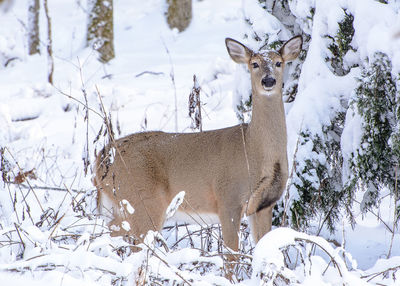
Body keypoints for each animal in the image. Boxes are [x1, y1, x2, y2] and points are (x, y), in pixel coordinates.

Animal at [93, 35, 300, 255]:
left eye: (278, 63)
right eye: (254, 64)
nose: (268, 81)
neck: (254, 149)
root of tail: (100, 160)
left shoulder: (264, 205)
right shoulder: (228, 198)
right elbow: (231, 256)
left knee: (109, 229)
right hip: (142, 200)